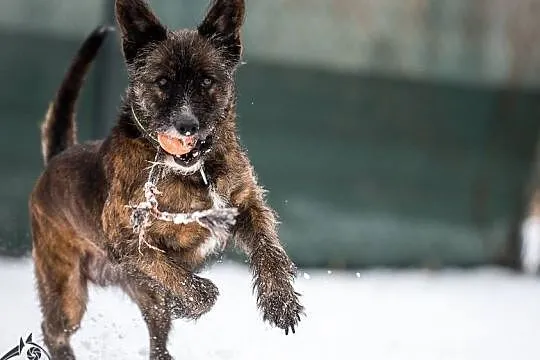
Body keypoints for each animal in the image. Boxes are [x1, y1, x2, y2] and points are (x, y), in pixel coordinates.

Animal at [30, 1, 304, 358]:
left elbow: (269, 250)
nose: (185, 127)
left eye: (206, 81)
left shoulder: (246, 205)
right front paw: (191, 300)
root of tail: (57, 157)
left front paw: (279, 301)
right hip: (67, 290)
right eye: (161, 82)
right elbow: (184, 281)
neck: (194, 172)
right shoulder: (126, 238)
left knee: (156, 333)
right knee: (55, 330)